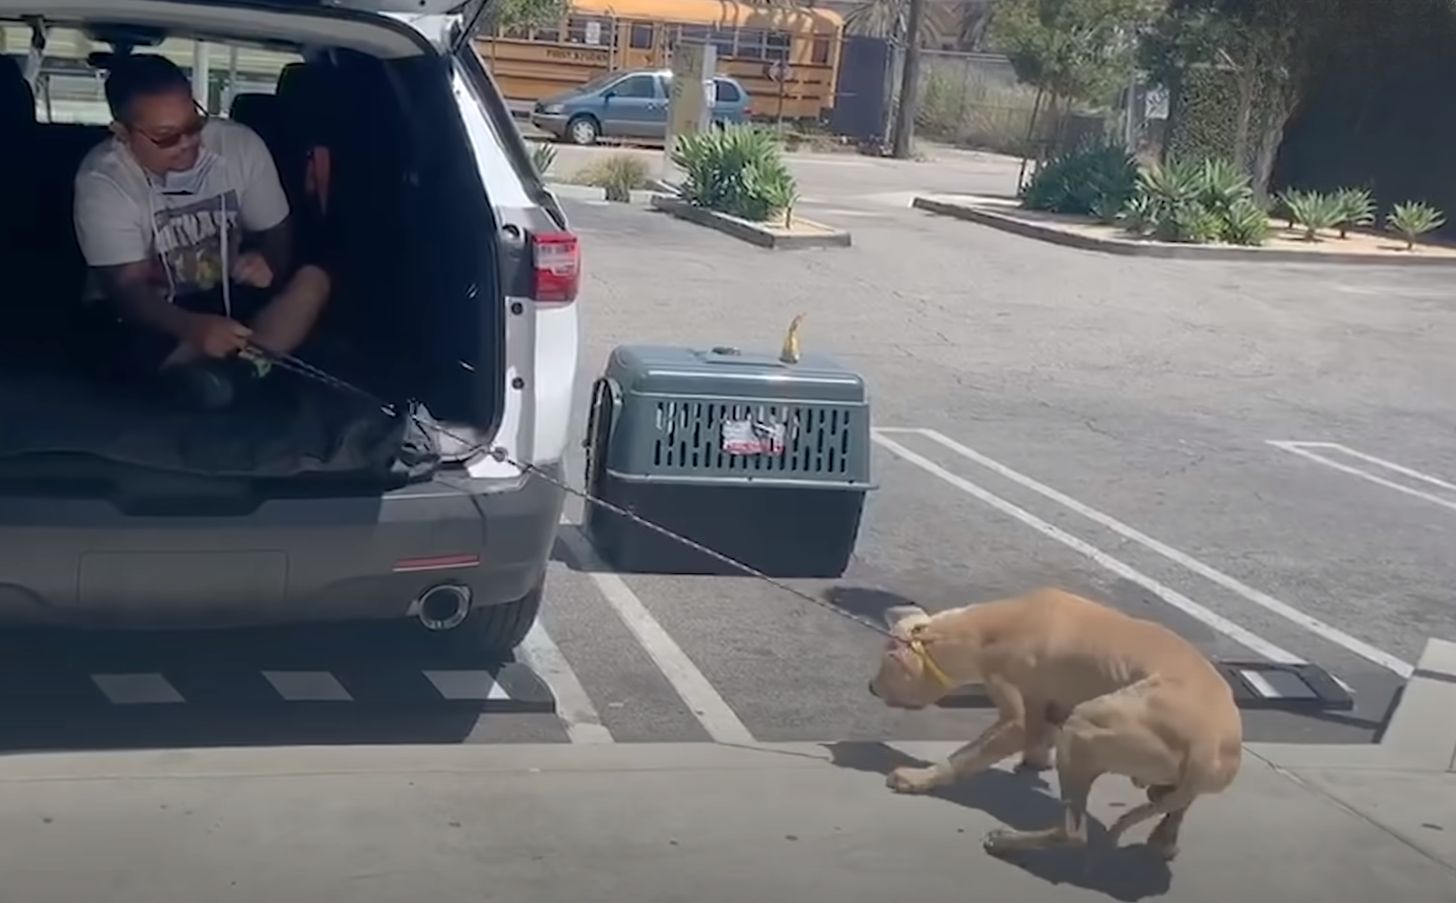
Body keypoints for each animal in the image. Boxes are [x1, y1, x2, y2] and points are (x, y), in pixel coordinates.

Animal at [861, 585, 1240, 862]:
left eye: (886, 665)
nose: (870, 687)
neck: (983, 629)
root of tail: (1206, 746)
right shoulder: (1049, 707)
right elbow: (1040, 731)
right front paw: (1035, 761)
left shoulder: (1016, 717)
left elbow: (967, 756)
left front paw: (919, 778)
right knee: (1172, 805)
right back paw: (1164, 835)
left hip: (1084, 728)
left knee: (1073, 833)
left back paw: (1007, 841)